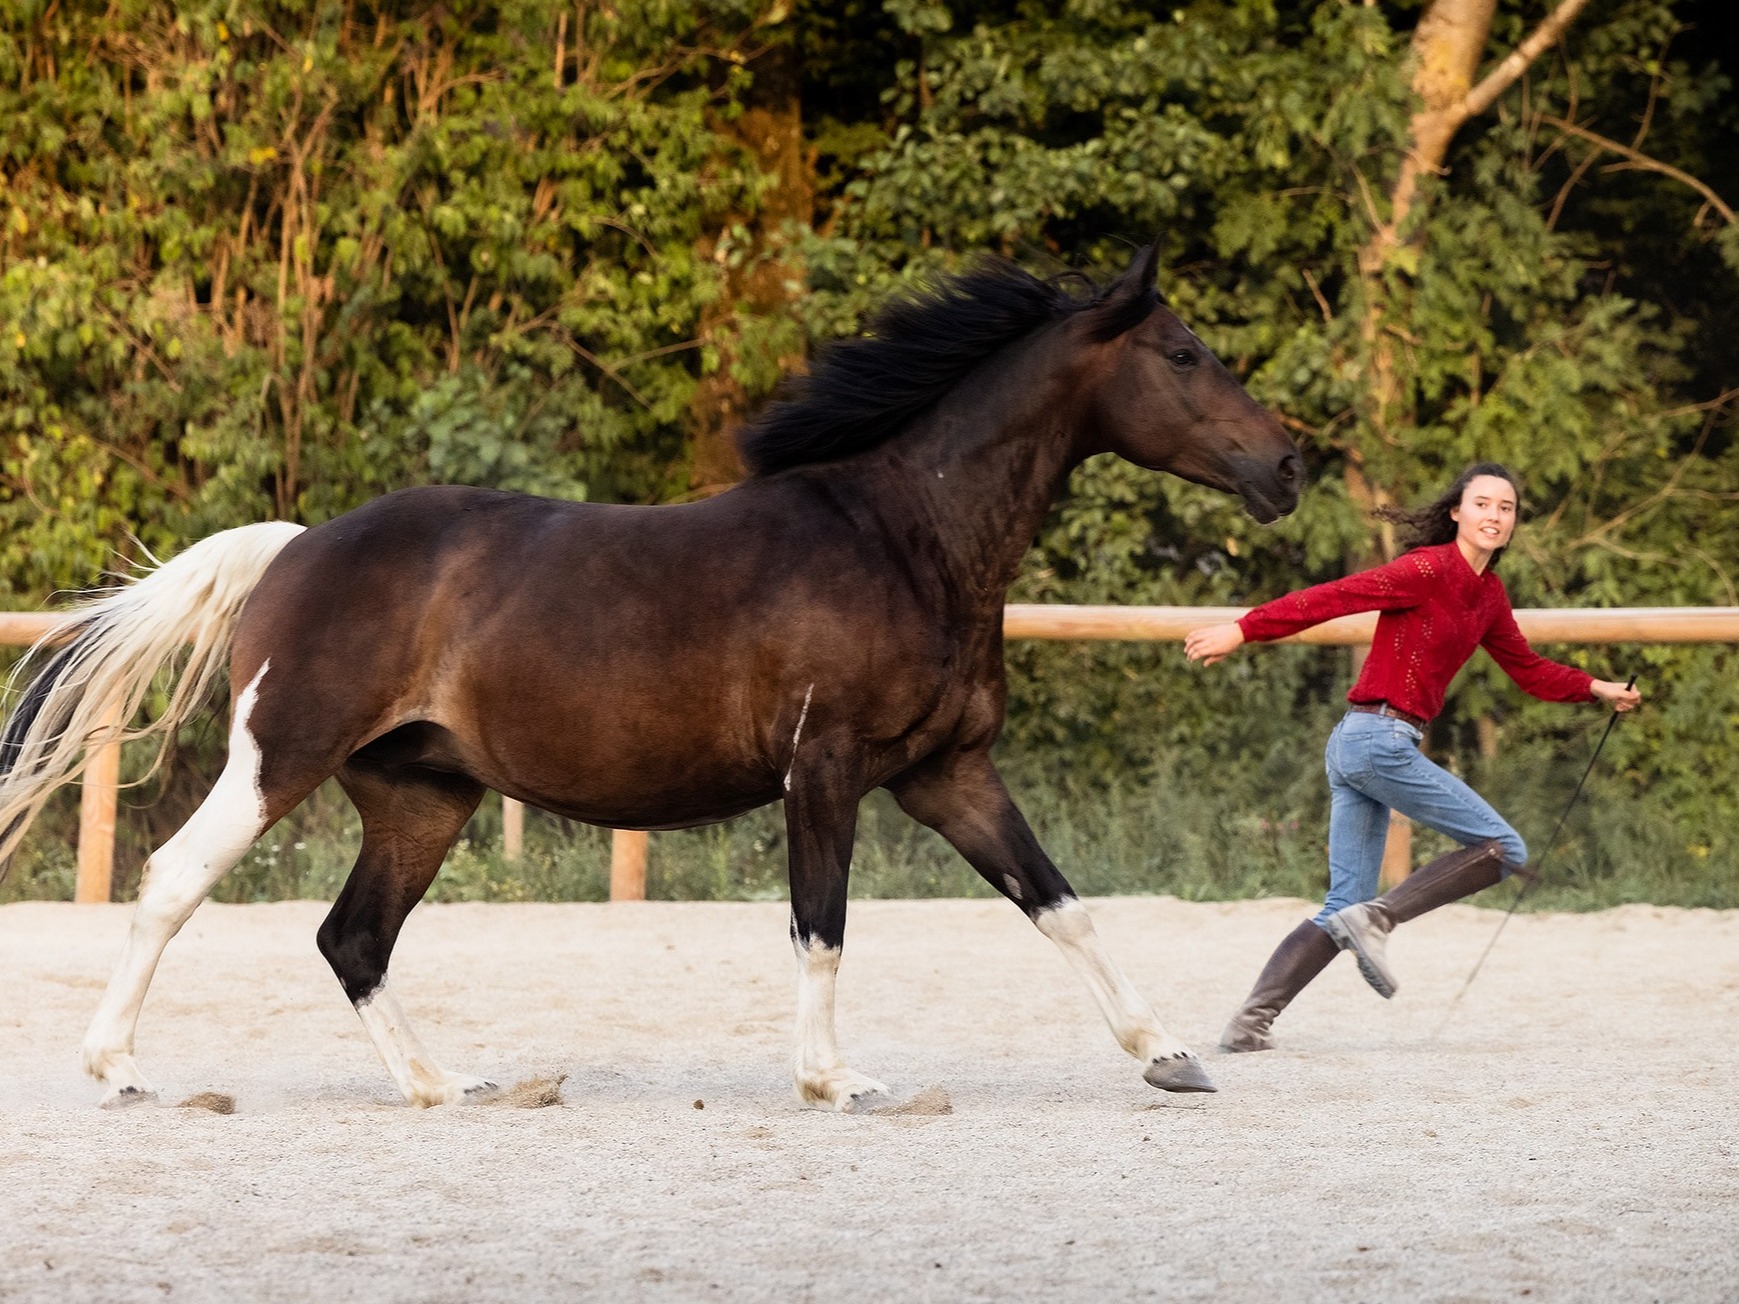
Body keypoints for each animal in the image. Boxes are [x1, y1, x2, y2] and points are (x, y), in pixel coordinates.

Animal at [0, 242, 1300, 1110]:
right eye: (1181, 352)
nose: (1285, 464)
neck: (906, 536)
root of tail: (297, 544)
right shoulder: (824, 768)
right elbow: (821, 923)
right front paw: (832, 1078)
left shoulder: (949, 772)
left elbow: (1059, 903)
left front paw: (1169, 1055)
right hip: (282, 758)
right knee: (174, 881)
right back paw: (119, 1069)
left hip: (422, 796)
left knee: (351, 937)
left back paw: (442, 1083)